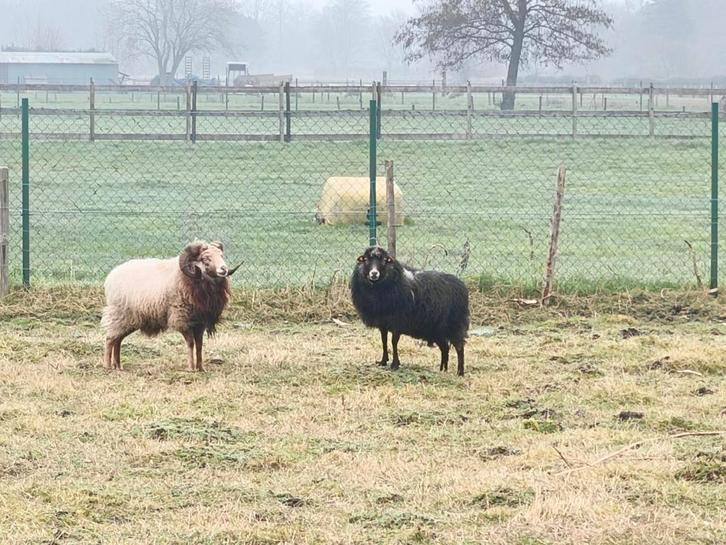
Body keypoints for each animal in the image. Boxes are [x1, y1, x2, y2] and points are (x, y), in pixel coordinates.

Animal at [101, 241, 241, 371]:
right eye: (205, 258)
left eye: (221, 255)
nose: (224, 269)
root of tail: (110, 277)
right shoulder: (182, 319)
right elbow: (191, 343)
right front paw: (191, 368)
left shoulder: (200, 322)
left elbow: (200, 345)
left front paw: (201, 368)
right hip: (119, 315)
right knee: (110, 339)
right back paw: (107, 366)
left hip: (129, 320)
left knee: (118, 340)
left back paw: (118, 366)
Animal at [351, 246, 469, 376]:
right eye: (366, 259)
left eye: (384, 260)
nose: (374, 273)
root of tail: (461, 286)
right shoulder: (383, 323)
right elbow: (384, 341)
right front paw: (383, 361)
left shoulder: (397, 322)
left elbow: (394, 342)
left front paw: (395, 364)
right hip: (438, 329)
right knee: (445, 347)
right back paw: (443, 369)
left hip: (455, 324)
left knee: (459, 348)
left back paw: (460, 372)